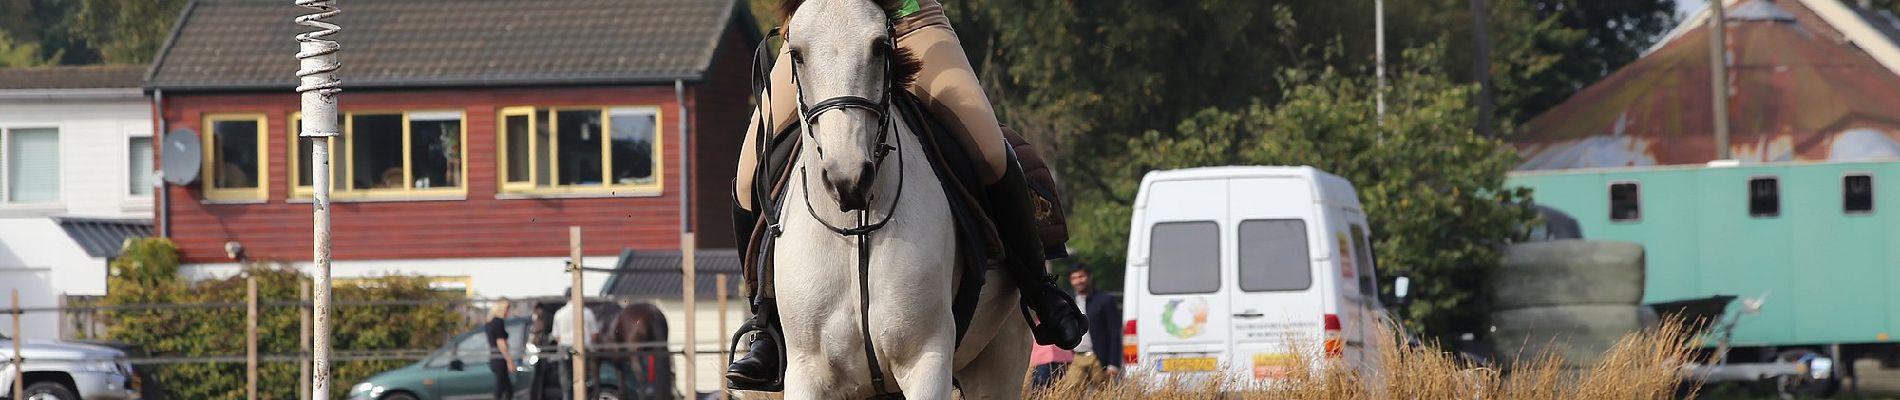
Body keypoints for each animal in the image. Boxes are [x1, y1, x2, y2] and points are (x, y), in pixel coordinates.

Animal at [760, 0, 1033, 396]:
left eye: (879, 47)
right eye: (796, 53)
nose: (848, 178)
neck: (855, 228)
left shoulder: (926, 361)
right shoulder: (808, 371)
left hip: (1002, 356)